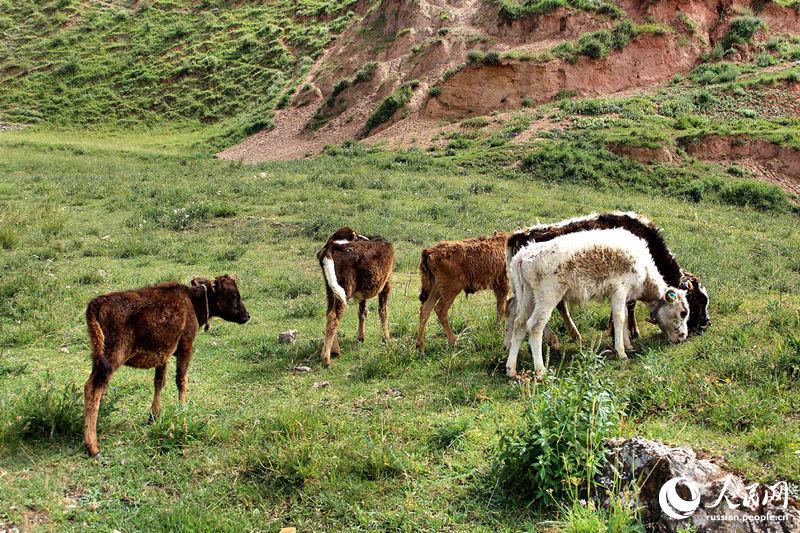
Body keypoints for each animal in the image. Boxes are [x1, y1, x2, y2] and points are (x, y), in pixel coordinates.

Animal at [83, 276, 248, 456]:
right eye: (233, 295)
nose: (247, 316)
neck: (191, 301)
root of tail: (98, 302)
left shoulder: (163, 354)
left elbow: (159, 381)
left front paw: (154, 417)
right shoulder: (186, 348)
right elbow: (181, 381)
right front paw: (182, 420)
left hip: (98, 358)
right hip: (113, 357)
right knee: (94, 388)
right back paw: (93, 447)